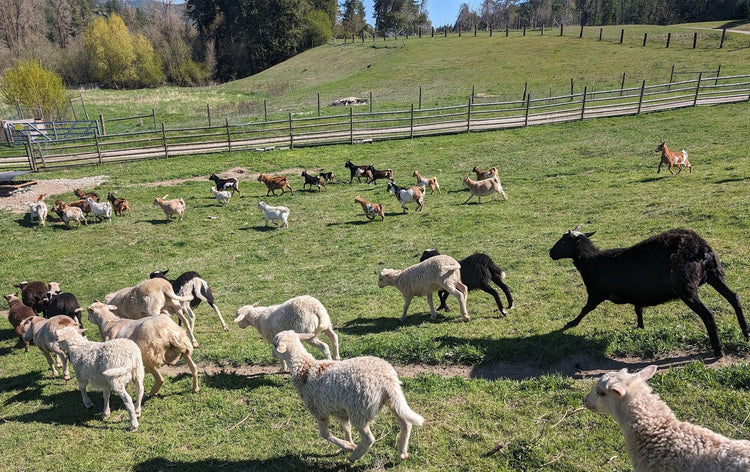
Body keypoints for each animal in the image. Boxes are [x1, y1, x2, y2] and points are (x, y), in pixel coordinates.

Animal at [272, 330, 424, 462]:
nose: (273, 353)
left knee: (369, 439)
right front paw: (349, 444)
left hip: (359, 409)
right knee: (406, 423)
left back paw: (355, 457)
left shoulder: (318, 410)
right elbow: (347, 428)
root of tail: (387, 380)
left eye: (274, 344)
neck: (305, 369)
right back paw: (402, 453)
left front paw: (348, 447)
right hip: (392, 400)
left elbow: (324, 434)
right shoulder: (341, 411)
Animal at [549, 226, 747, 357]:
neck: (589, 261)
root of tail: (701, 248)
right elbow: (638, 309)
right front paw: (640, 326)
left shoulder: (596, 293)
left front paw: (570, 324)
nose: (550, 253)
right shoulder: (636, 293)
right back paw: (746, 332)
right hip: (715, 274)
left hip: (686, 287)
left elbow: (585, 309)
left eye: (563, 241)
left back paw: (718, 350)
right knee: (734, 298)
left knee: (708, 315)